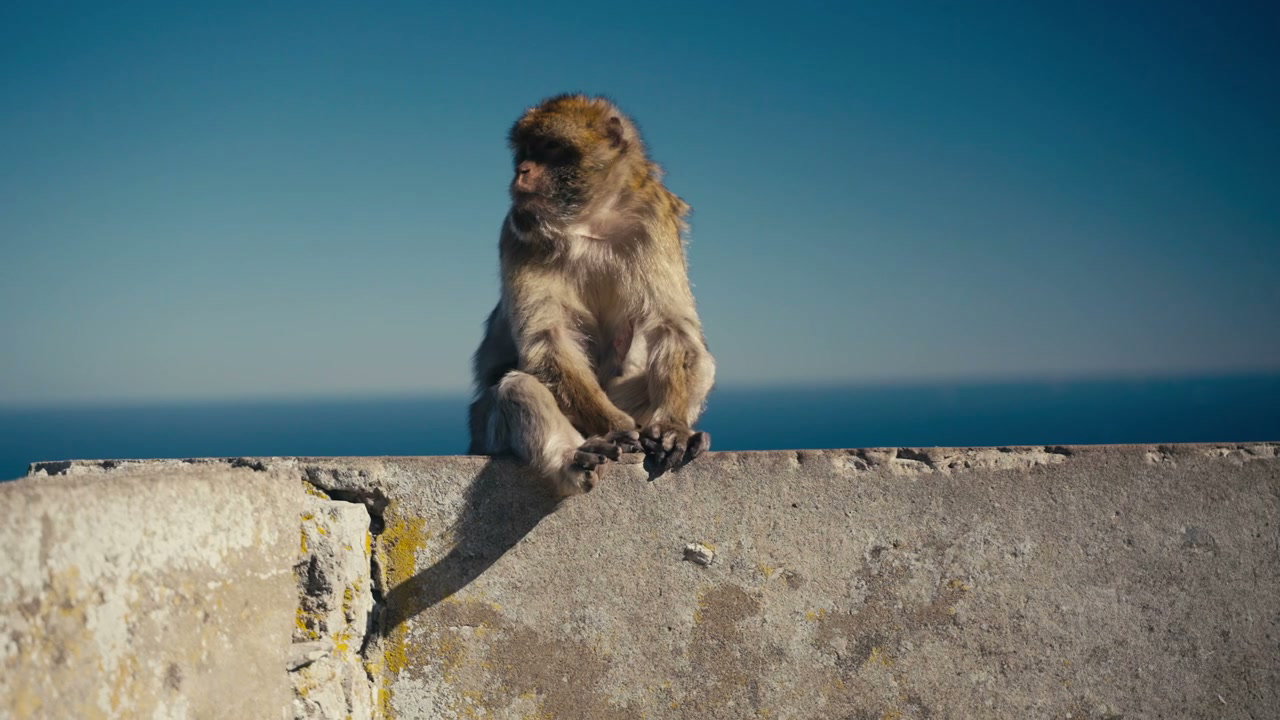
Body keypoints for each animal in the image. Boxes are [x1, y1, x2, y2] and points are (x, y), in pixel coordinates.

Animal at [468, 94, 715, 498]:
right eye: (525, 150)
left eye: (551, 148)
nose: (522, 170)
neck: (590, 220)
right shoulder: (520, 227)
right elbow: (547, 338)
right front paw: (615, 425)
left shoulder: (654, 221)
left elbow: (673, 329)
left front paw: (674, 428)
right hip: (484, 429)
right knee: (517, 387)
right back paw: (576, 457)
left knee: (700, 361)